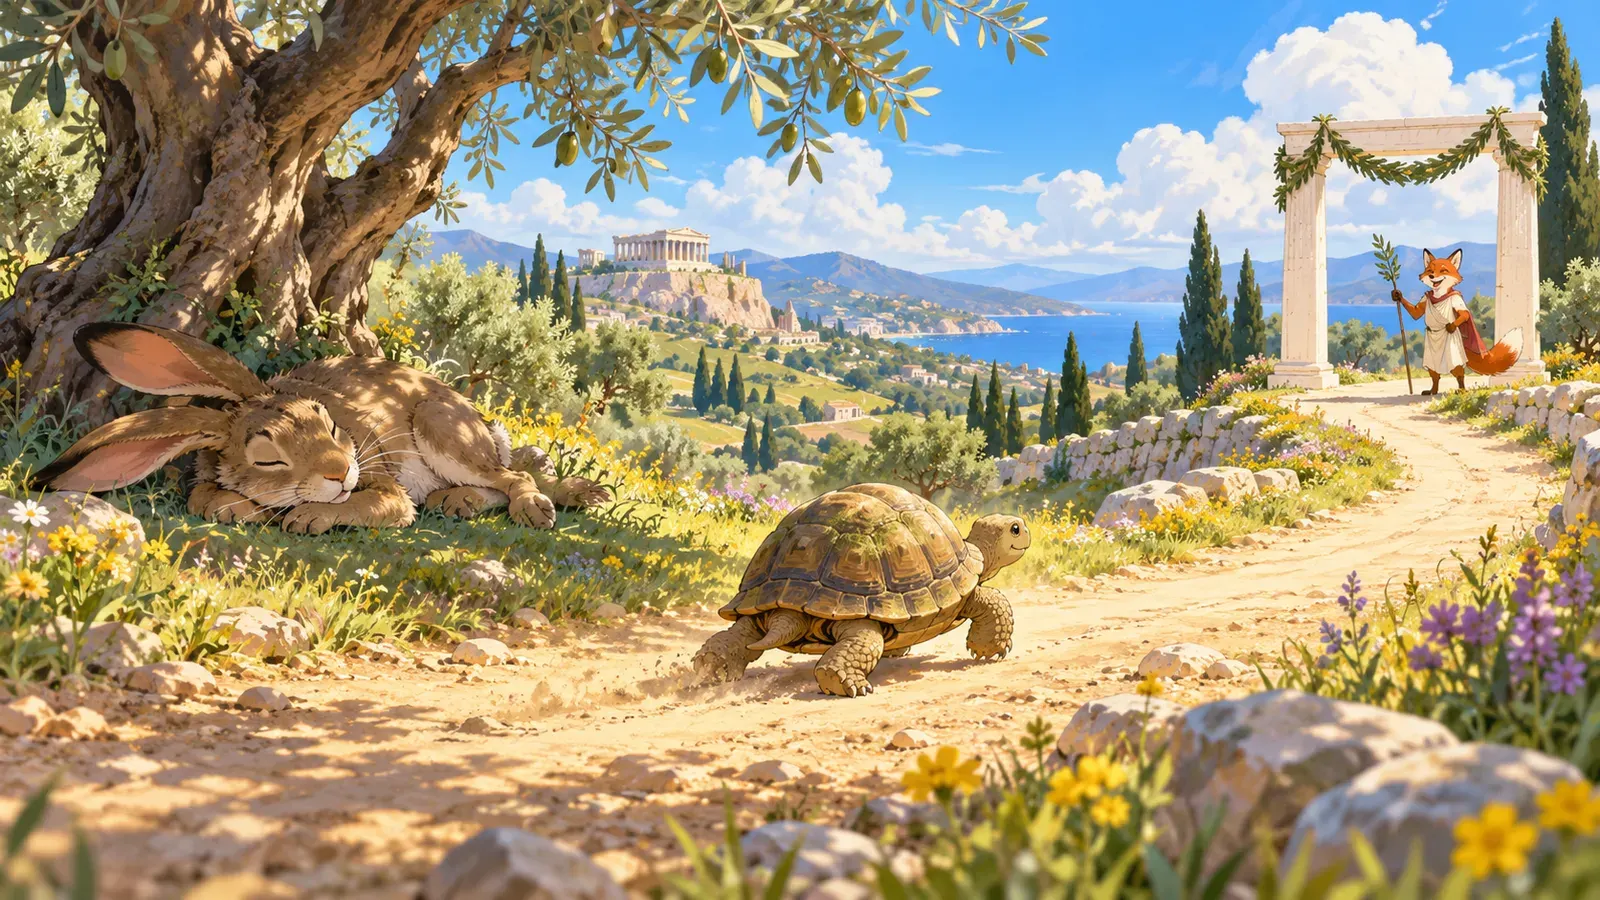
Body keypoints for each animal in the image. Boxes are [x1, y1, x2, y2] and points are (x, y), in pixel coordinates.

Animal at [34, 322, 578, 535]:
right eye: (267, 458)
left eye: (331, 426)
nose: (340, 472)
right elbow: (201, 496)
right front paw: (234, 508)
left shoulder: (382, 482)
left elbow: (379, 504)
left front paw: (309, 517)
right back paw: (456, 501)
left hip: (438, 426)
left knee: (514, 477)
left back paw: (532, 510)